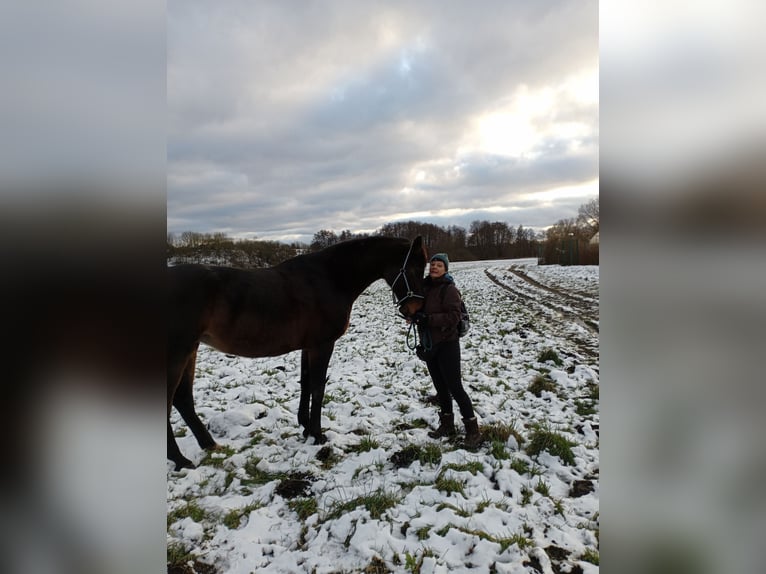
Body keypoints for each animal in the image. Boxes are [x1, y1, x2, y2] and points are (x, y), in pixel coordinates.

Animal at [168, 236, 428, 470]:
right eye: (414, 268)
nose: (416, 310)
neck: (331, 278)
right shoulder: (322, 345)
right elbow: (318, 387)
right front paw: (318, 434)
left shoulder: (308, 346)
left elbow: (306, 383)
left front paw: (305, 427)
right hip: (178, 351)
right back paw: (181, 460)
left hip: (191, 349)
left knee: (183, 400)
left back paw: (209, 445)